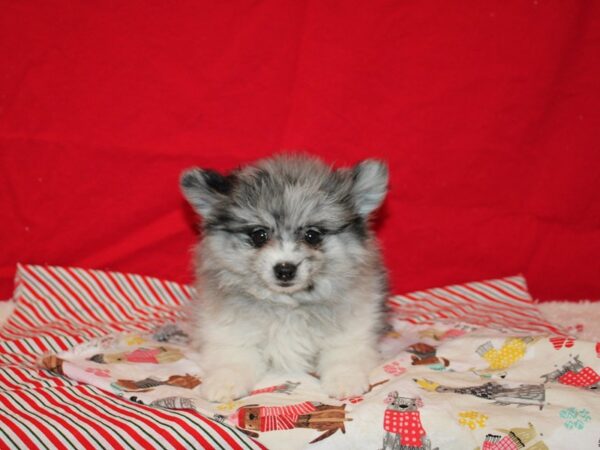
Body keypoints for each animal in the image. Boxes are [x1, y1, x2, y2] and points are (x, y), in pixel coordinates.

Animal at [178, 154, 390, 400]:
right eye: (259, 235)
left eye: (312, 235)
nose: (285, 269)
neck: (287, 304)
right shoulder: (229, 332)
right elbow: (233, 356)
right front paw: (224, 382)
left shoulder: (354, 328)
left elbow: (343, 352)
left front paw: (345, 379)